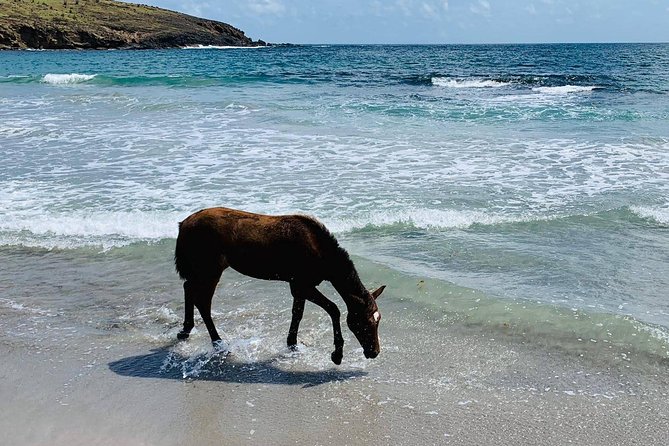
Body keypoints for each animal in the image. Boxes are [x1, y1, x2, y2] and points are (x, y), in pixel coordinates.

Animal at [172, 207, 384, 364]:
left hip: (202, 271)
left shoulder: (298, 286)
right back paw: (217, 342)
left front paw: (292, 343)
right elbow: (334, 309)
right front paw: (337, 354)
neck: (321, 252)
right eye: (364, 322)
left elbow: (297, 313)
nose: (374, 352)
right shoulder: (302, 285)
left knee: (188, 288)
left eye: (378, 319)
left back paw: (186, 330)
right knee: (203, 302)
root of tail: (183, 224)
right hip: (210, 271)